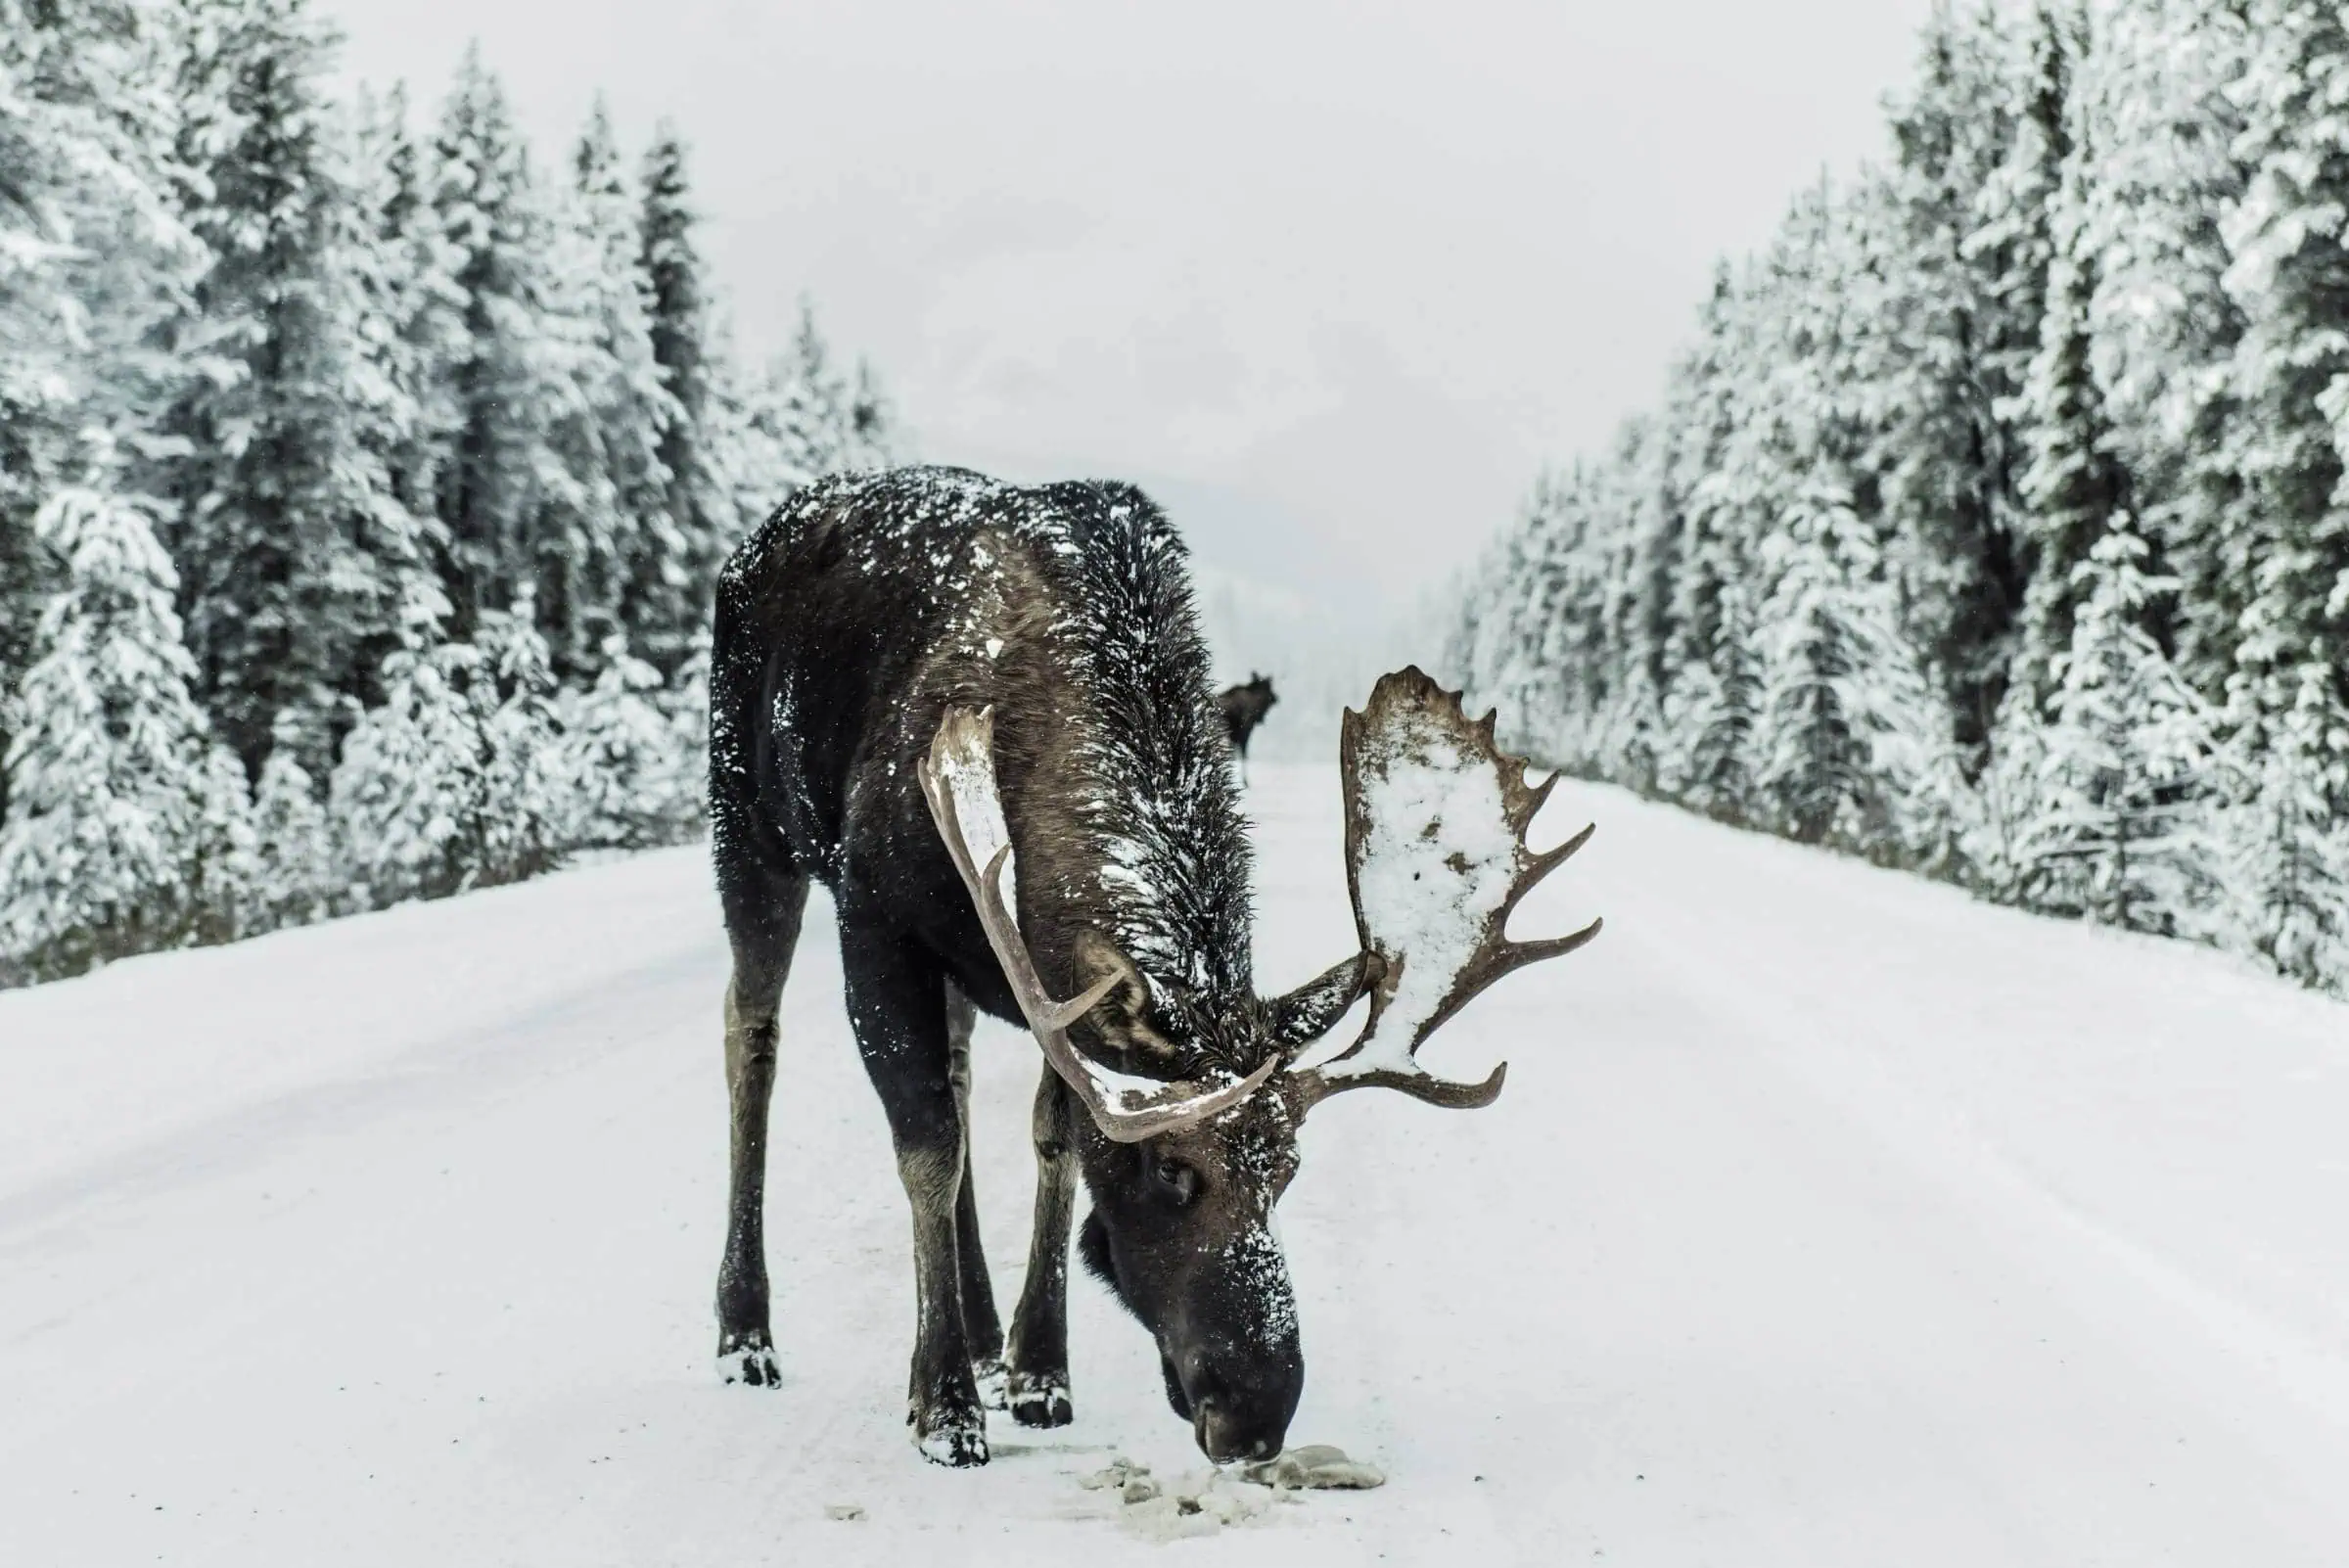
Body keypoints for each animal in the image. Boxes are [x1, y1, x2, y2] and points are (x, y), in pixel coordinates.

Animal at [705, 464, 1606, 1474]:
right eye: (1173, 1171)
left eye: (1289, 1169)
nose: (1256, 1414)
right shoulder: (876, 915)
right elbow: (927, 1148)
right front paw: (942, 1407)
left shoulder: (1042, 980)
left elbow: (1052, 1140)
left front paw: (1038, 1369)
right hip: (748, 825)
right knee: (753, 1036)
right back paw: (747, 1334)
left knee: (960, 1071)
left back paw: (981, 1332)